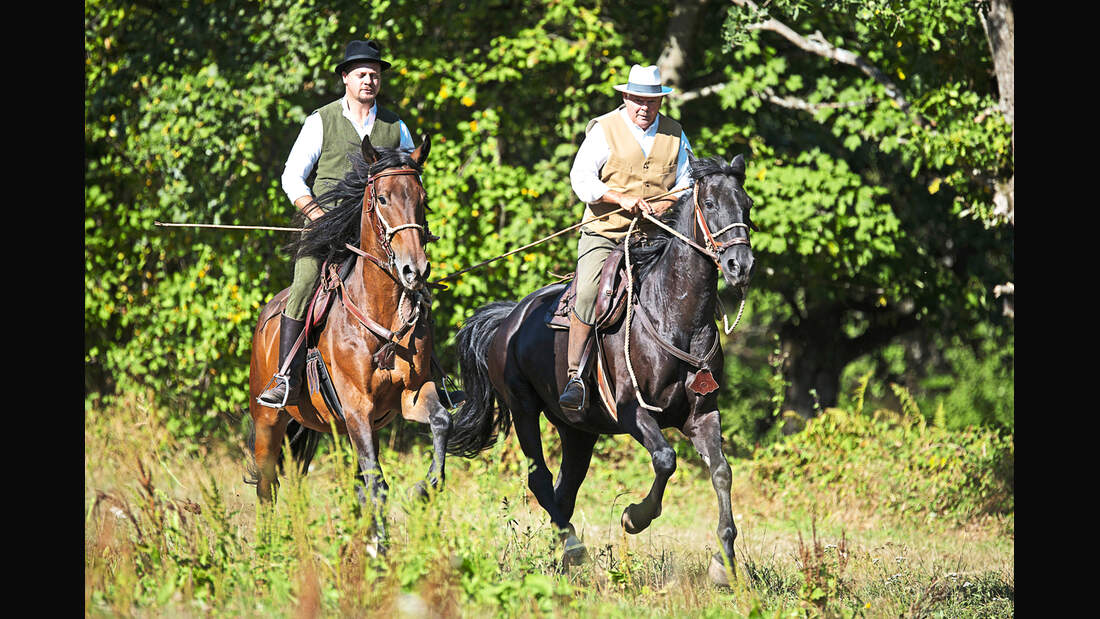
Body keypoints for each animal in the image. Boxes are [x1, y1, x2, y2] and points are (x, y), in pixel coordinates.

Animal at [247, 133, 453, 549]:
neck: (382, 312)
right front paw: (382, 546)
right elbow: (376, 483)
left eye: (422, 198)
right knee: (266, 486)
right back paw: (267, 548)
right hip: (268, 422)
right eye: (383, 198)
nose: (415, 270)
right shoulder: (356, 407)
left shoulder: (412, 394)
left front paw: (423, 491)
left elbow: (441, 423)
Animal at [446, 152, 756, 584]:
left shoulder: (703, 415)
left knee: (565, 489)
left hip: (579, 431)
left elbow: (722, 472)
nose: (739, 265)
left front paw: (723, 563)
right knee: (540, 478)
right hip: (525, 411)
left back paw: (564, 558)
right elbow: (665, 460)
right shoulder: (631, 411)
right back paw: (574, 549)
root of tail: (509, 317)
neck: (675, 318)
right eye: (709, 204)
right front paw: (635, 517)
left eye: (747, 205)